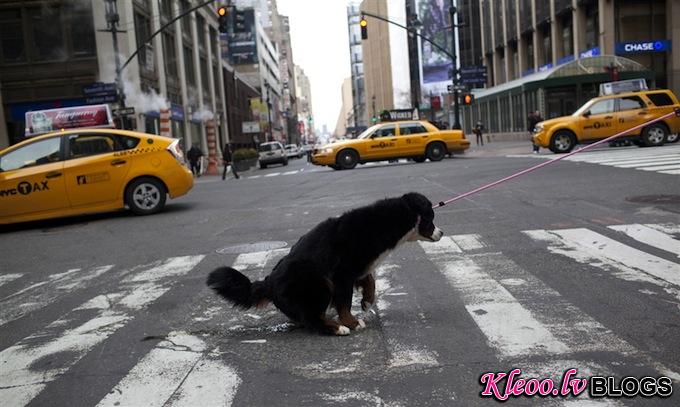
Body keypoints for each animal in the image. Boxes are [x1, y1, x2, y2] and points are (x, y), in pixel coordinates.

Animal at [205, 193, 444, 336]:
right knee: (313, 320)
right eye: (431, 218)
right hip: (317, 283)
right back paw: (338, 328)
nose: (442, 232)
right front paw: (352, 322)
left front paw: (367, 301)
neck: (386, 222)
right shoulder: (341, 274)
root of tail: (269, 282)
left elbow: (370, 279)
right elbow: (344, 302)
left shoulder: (358, 267)